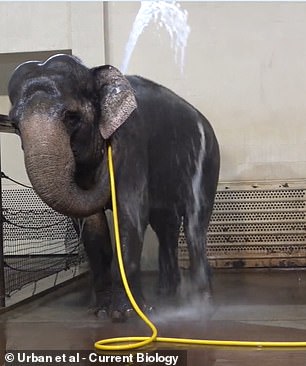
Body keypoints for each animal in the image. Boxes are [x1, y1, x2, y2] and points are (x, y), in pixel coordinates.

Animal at [0, 53, 220, 320]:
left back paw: (202, 303)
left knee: (194, 224)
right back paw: (167, 296)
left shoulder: (130, 139)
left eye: (71, 117)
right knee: (164, 225)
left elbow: (130, 212)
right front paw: (101, 312)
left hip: (208, 162)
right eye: (14, 125)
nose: (106, 158)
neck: (93, 72)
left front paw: (126, 314)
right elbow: (91, 225)